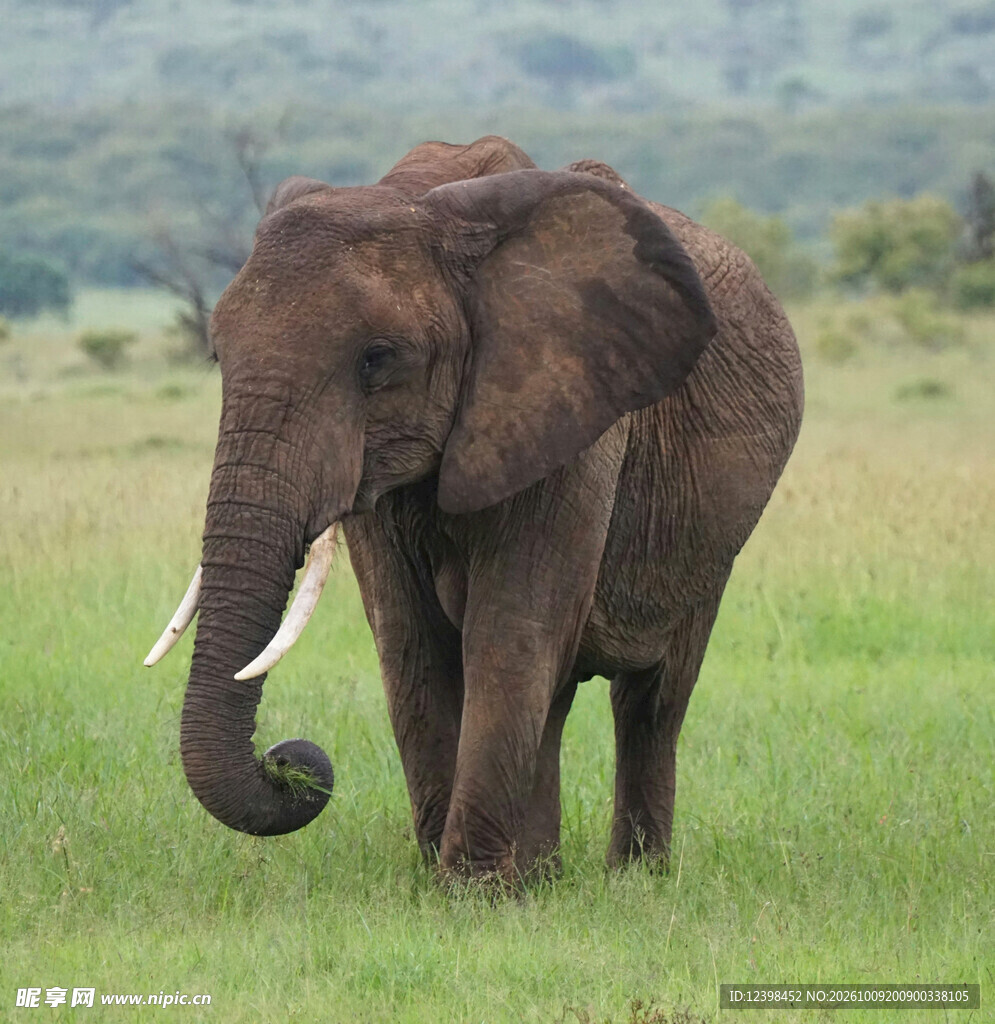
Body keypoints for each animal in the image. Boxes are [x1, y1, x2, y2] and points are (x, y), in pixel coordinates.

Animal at [146, 135, 803, 884]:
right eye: (217, 353)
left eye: (377, 359)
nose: (290, 763)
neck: (423, 202)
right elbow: (409, 640)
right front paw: (450, 879)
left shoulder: (571, 412)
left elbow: (511, 627)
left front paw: (470, 889)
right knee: (558, 695)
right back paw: (543, 877)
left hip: (711, 537)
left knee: (651, 699)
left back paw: (634, 879)